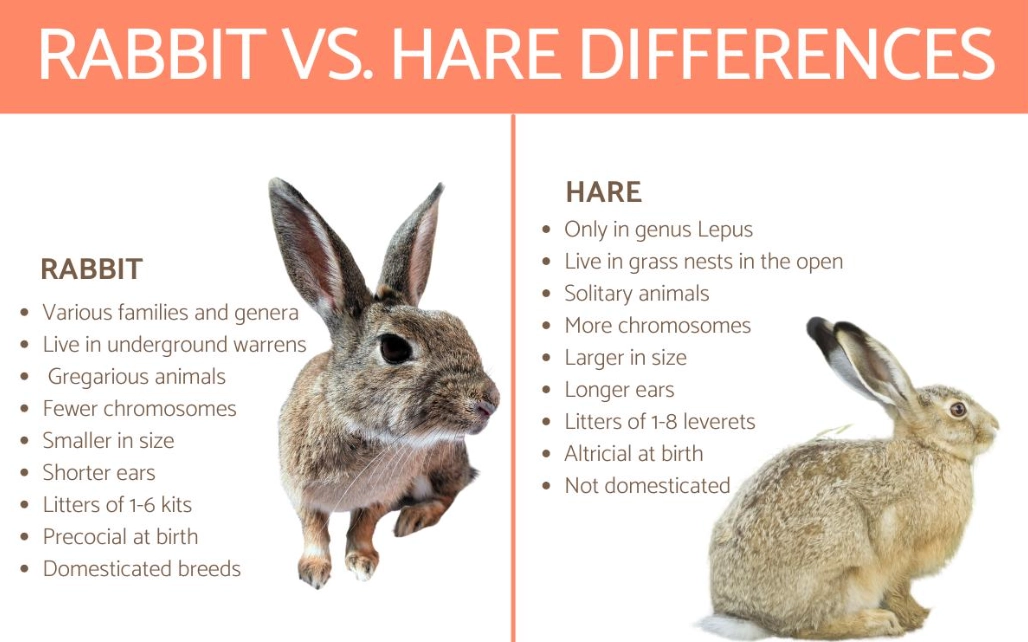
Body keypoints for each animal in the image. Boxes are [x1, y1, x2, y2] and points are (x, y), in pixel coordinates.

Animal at [268, 178, 500, 588]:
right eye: (393, 348)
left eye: (456, 324)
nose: (491, 401)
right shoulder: (301, 492)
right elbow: (314, 529)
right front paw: (314, 572)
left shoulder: (381, 495)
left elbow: (363, 525)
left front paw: (362, 563)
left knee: (450, 492)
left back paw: (414, 517)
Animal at [700, 317, 998, 639]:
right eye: (958, 409)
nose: (996, 427)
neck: (927, 449)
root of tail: (748, 616)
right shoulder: (898, 550)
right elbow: (898, 589)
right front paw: (914, 619)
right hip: (841, 566)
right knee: (807, 627)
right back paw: (878, 622)